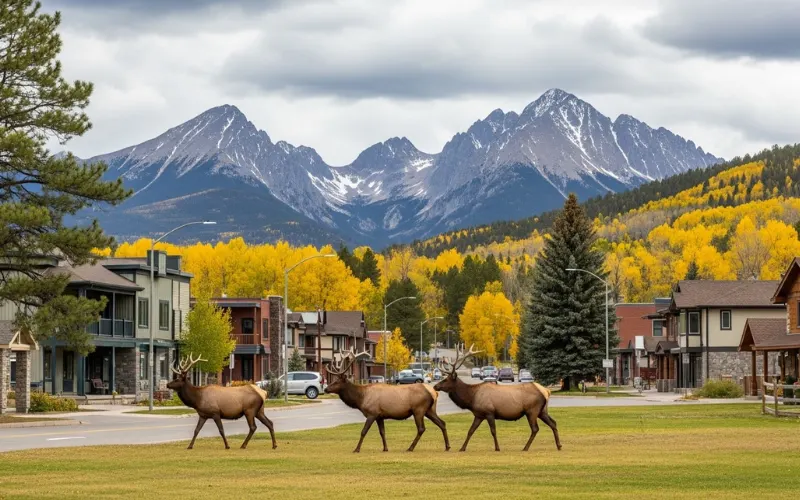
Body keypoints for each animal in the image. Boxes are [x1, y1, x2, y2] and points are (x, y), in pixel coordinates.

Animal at [433, 344, 562, 452]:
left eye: (446, 380)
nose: (435, 386)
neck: (471, 398)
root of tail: (546, 391)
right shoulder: (479, 415)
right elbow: (470, 431)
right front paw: (462, 448)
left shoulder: (489, 412)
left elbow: (493, 431)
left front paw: (497, 448)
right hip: (542, 411)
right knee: (553, 423)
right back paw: (559, 445)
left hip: (532, 410)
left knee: (535, 428)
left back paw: (525, 447)